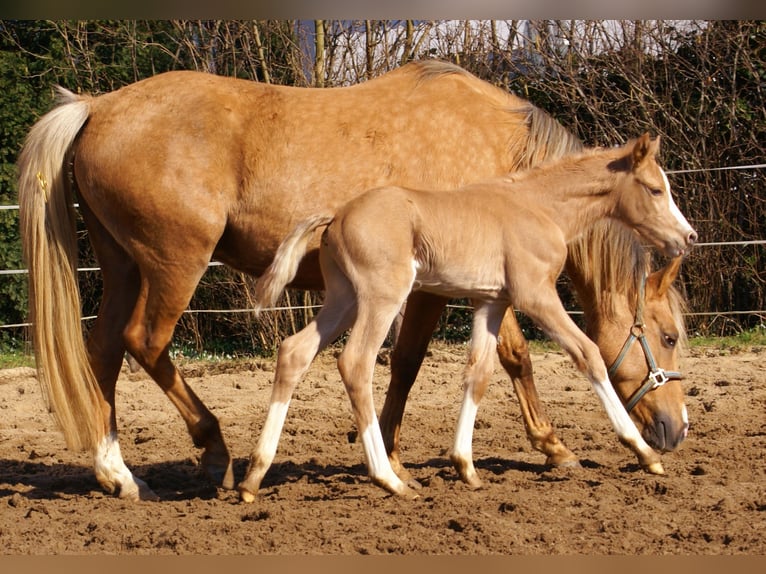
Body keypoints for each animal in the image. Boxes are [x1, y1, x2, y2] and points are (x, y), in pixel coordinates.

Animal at [243, 134, 700, 500]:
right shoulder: (536, 295)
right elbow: (588, 354)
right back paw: (390, 480)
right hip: (380, 297)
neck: (540, 207)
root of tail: (336, 216)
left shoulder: (491, 302)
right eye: (655, 189)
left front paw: (465, 465)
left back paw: (253, 477)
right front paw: (644, 454)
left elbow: (478, 372)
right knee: (356, 363)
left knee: (295, 352)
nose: (688, 237)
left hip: (343, 299)